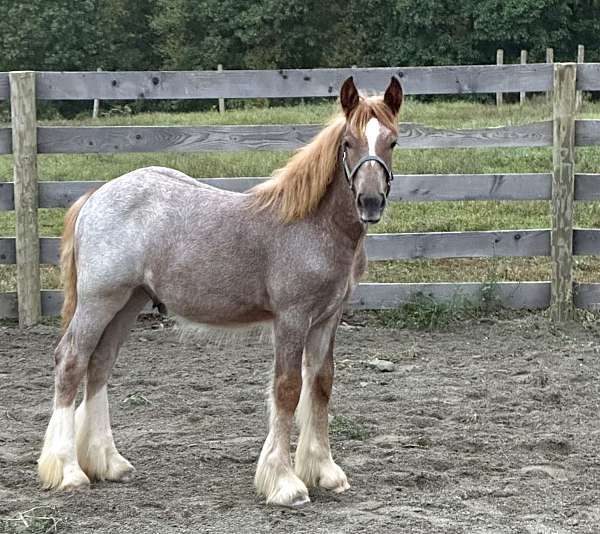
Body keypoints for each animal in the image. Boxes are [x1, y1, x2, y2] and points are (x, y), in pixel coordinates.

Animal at [36, 75, 404, 506]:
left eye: (392, 142)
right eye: (348, 142)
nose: (370, 202)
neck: (312, 226)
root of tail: (95, 196)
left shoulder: (327, 319)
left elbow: (321, 385)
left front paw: (325, 471)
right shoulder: (292, 319)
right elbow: (288, 388)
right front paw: (285, 482)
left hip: (128, 302)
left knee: (99, 364)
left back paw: (109, 463)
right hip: (99, 301)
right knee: (71, 360)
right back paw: (69, 471)